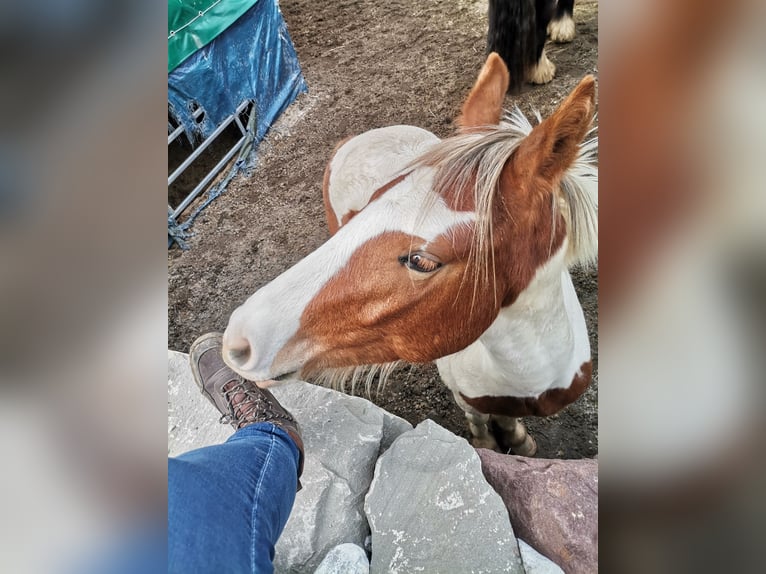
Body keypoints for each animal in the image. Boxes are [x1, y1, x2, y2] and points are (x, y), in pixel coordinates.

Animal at [222, 55, 600, 460]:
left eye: (423, 261)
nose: (239, 341)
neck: (530, 380)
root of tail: (356, 139)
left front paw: (519, 441)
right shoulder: (467, 397)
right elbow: (481, 421)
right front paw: (491, 444)